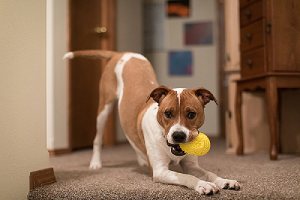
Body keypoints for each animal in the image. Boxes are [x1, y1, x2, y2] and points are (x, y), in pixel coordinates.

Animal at [63, 50, 241, 195]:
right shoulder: (161, 171)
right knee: (97, 138)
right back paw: (95, 163)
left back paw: (141, 159)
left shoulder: (192, 165)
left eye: (191, 114)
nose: (178, 135)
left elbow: (208, 173)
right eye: (168, 113)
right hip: (103, 109)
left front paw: (224, 181)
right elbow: (186, 177)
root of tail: (120, 53)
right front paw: (203, 185)